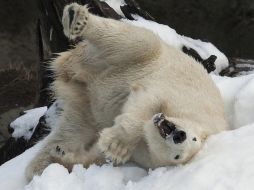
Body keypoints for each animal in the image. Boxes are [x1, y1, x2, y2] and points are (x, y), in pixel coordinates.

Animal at [25, 2, 228, 181]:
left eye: (178, 156)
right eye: (193, 138)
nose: (179, 135)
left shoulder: (143, 154)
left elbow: (97, 155)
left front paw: (63, 155)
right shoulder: (184, 99)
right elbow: (146, 98)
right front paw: (117, 143)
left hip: (86, 108)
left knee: (71, 130)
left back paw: (40, 166)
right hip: (133, 58)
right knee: (135, 41)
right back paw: (77, 18)